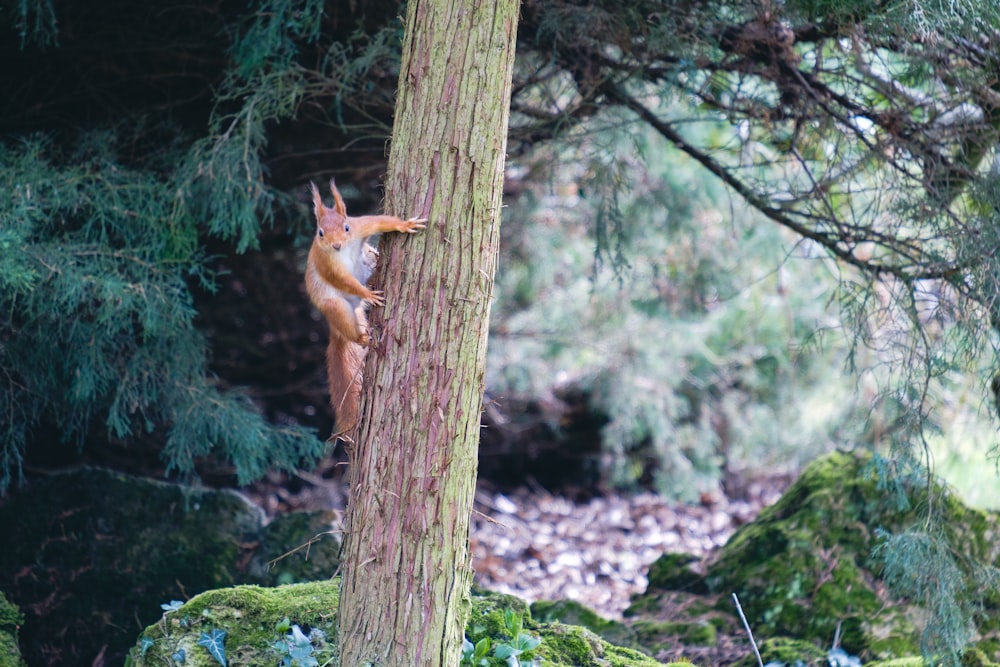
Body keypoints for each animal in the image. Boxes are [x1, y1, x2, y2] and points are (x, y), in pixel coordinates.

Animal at [306, 179, 428, 438]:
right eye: (320, 233)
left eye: (346, 227)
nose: (336, 245)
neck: (343, 251)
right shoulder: (327, 264)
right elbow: (344, 280)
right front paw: (368, 294)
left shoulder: (361, 227)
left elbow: (381, 221)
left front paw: (406, 225)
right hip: (337, 308)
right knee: (350, 327)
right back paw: (362, 336)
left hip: (366, 268)